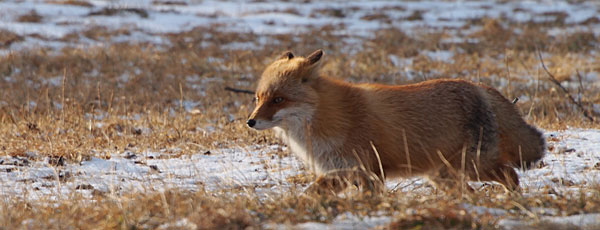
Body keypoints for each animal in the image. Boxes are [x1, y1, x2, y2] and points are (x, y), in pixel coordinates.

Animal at [246, 49, 548, 193]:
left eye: (278, 100)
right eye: (258, 98)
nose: (250, 122)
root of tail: (479, 86)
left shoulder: (369, 172)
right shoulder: (338, 173)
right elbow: (309, 195)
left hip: (474, 167)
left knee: (511, 175)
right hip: (443, 177)